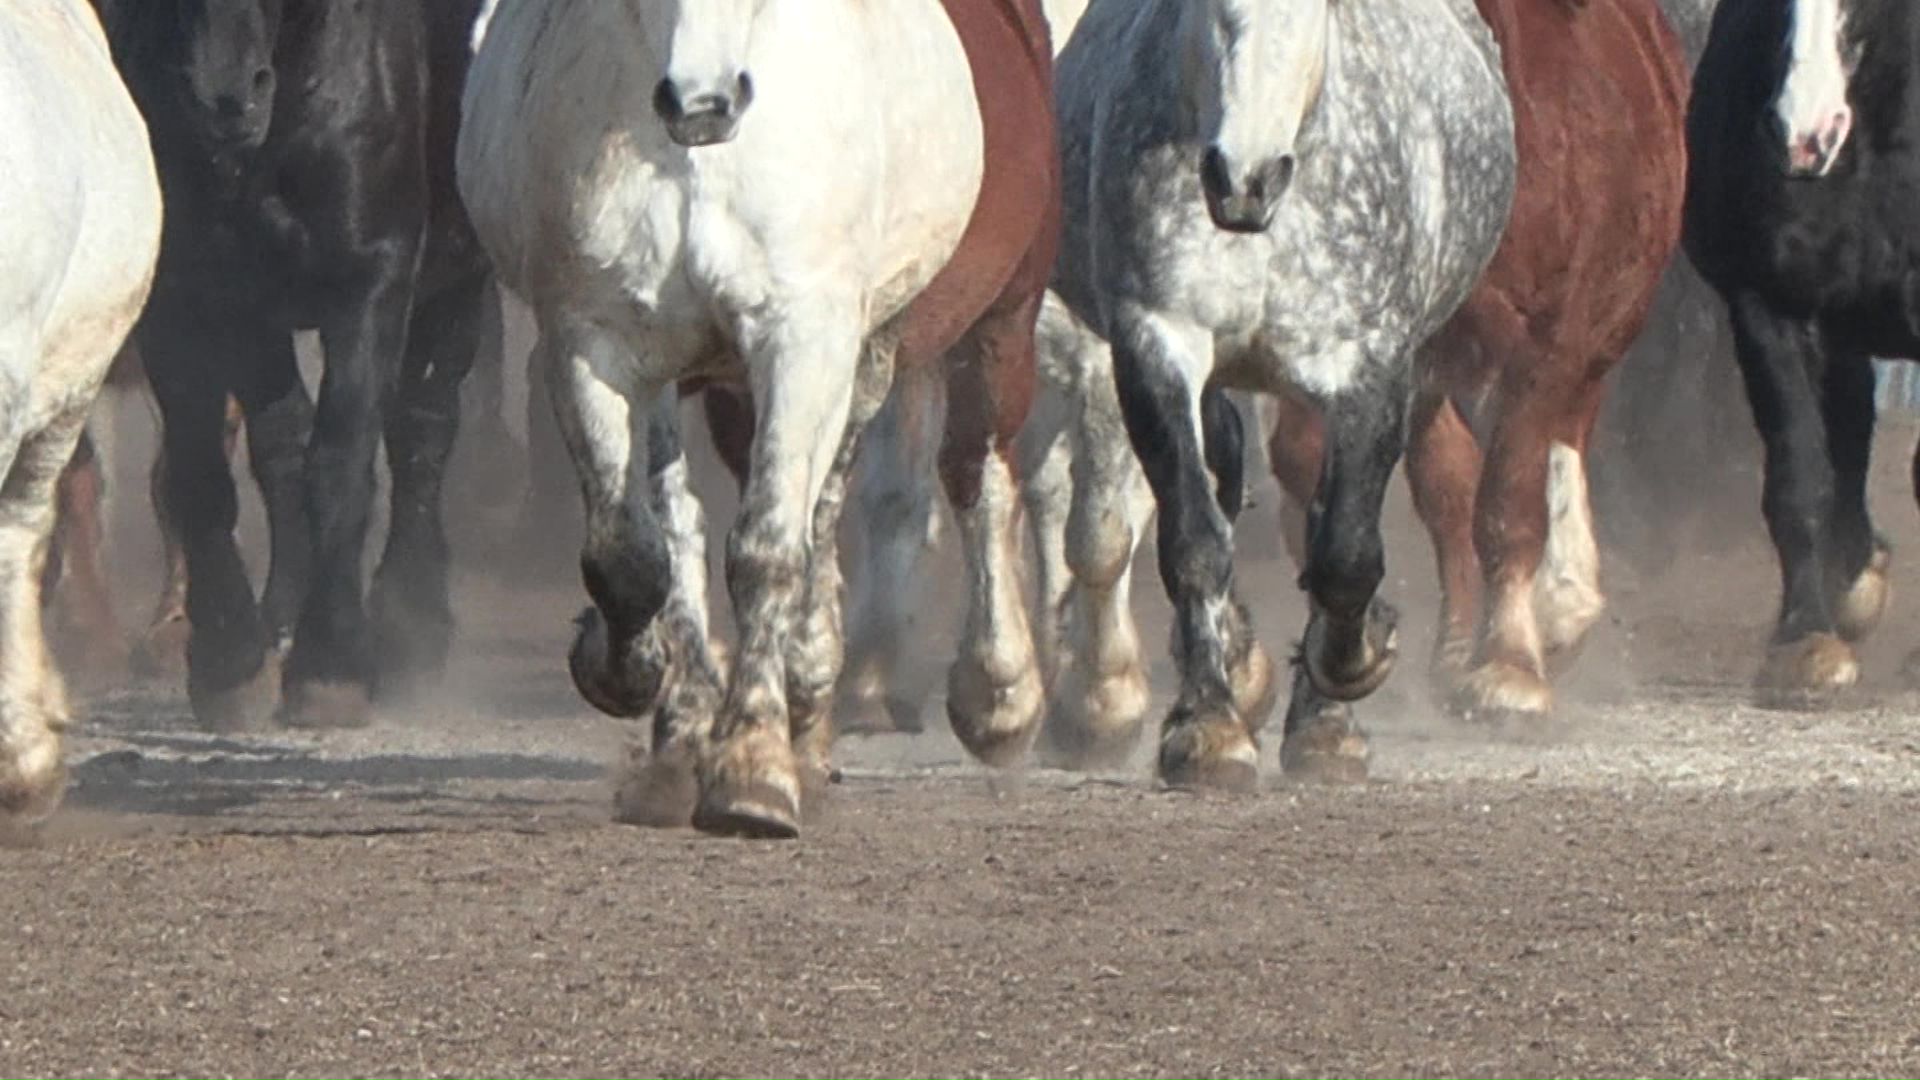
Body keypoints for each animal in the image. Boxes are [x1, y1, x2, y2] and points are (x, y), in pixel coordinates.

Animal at [98, 0, 496, 730]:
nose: (225, 96)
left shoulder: (370, 280)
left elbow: (342, 461)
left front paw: (332, 666)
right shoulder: (186, 294)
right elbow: (201, 476)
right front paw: (230, 660)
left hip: (456, 282)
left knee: (422, 432)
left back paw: (410, 628)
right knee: (283, 445)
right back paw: (281, 622)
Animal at [459, 0, 1060, 838]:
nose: (704, 102)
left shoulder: (802, 335)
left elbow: (768, 548)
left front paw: (753, 768)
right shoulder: (596, 342)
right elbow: (632, 554)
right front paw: (639, 684)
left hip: (994, 312)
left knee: (976, 472)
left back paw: (995, 696)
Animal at [1021, 0, 1514, 788]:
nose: (1244, 178)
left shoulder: (1370, 366)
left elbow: (1345, 552)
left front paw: (1346, 683)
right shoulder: (1156, 342)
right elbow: (1194, 537)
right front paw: (1208, 727)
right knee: (1223, 479)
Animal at [1262, 0, 1689, 731]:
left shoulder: (1549, 341)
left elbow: (1509, 496)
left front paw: (1510, 666)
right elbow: (1433, 487)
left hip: (1601, 331)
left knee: (1566, 433)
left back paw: (1560, 604)